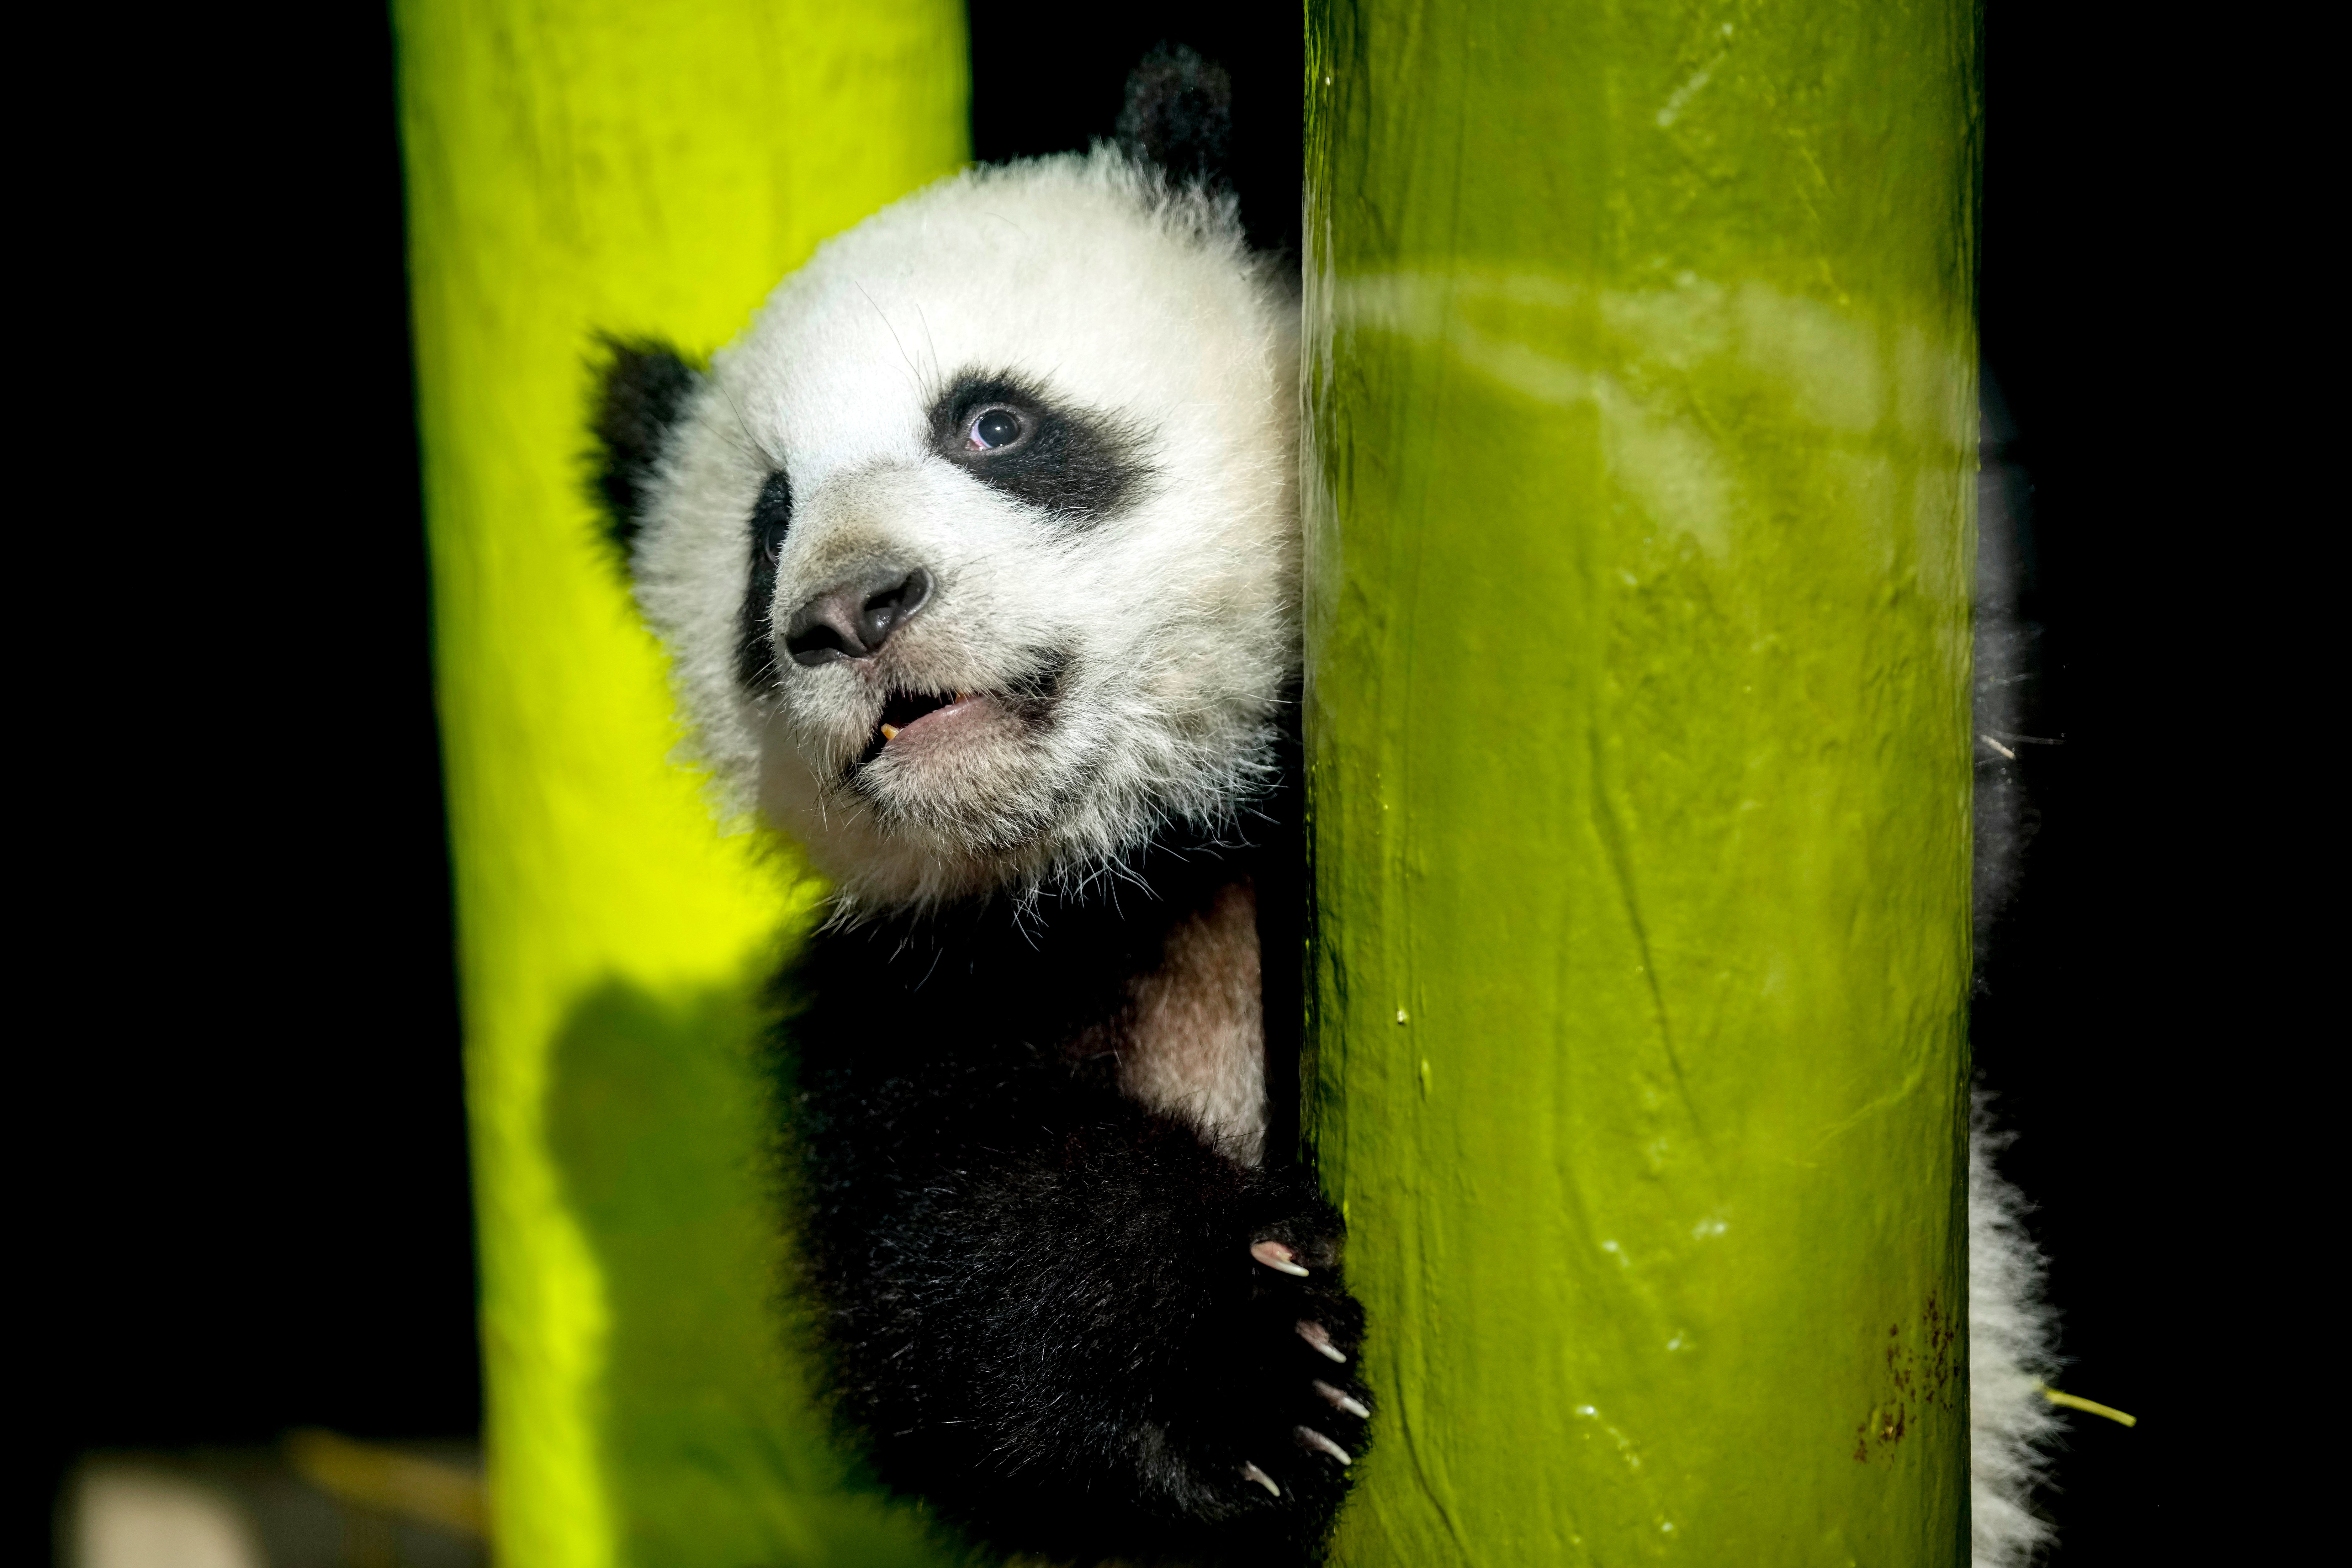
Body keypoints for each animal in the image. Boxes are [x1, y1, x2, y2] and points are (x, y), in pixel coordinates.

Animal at [591, 50, 2059, 1568]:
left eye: (994, 424)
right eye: (769, 523)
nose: (852, 609)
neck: (1146, 836)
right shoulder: (926, 985)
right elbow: (959, 1251)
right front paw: (1244, 1367)